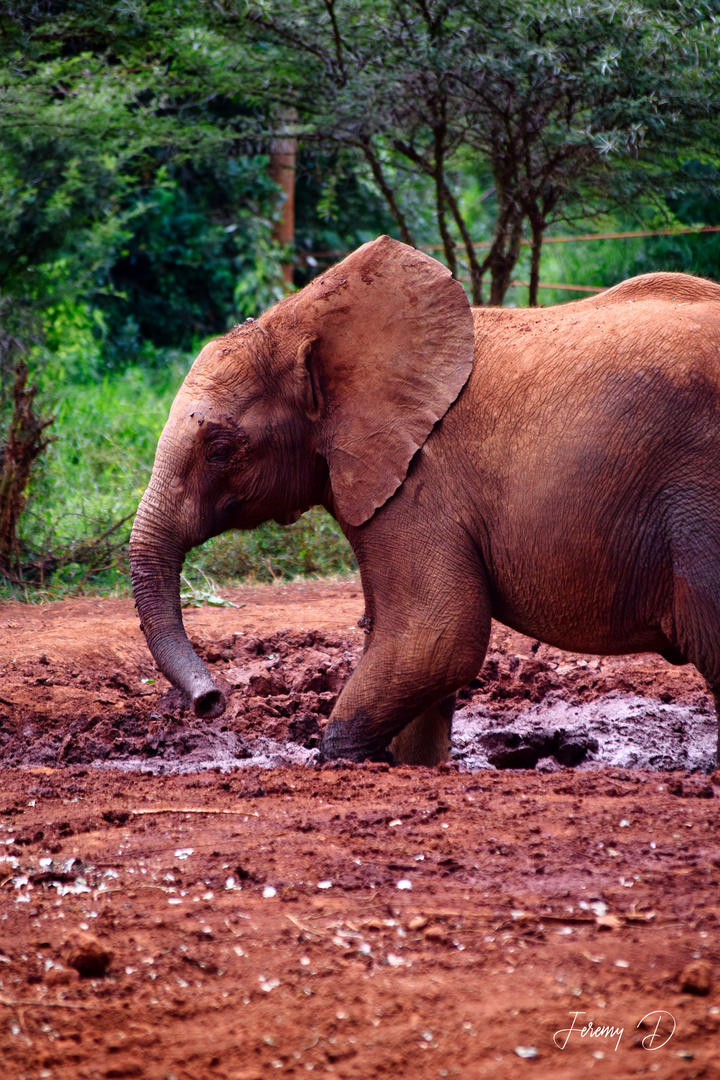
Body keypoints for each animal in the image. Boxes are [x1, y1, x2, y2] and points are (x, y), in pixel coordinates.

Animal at [131, 236, 720, 768]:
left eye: (220, 451)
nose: (212, 701)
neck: (304, 317)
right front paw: (416, 766)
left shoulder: (420, 482)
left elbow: (436, 634)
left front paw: (348, 763)